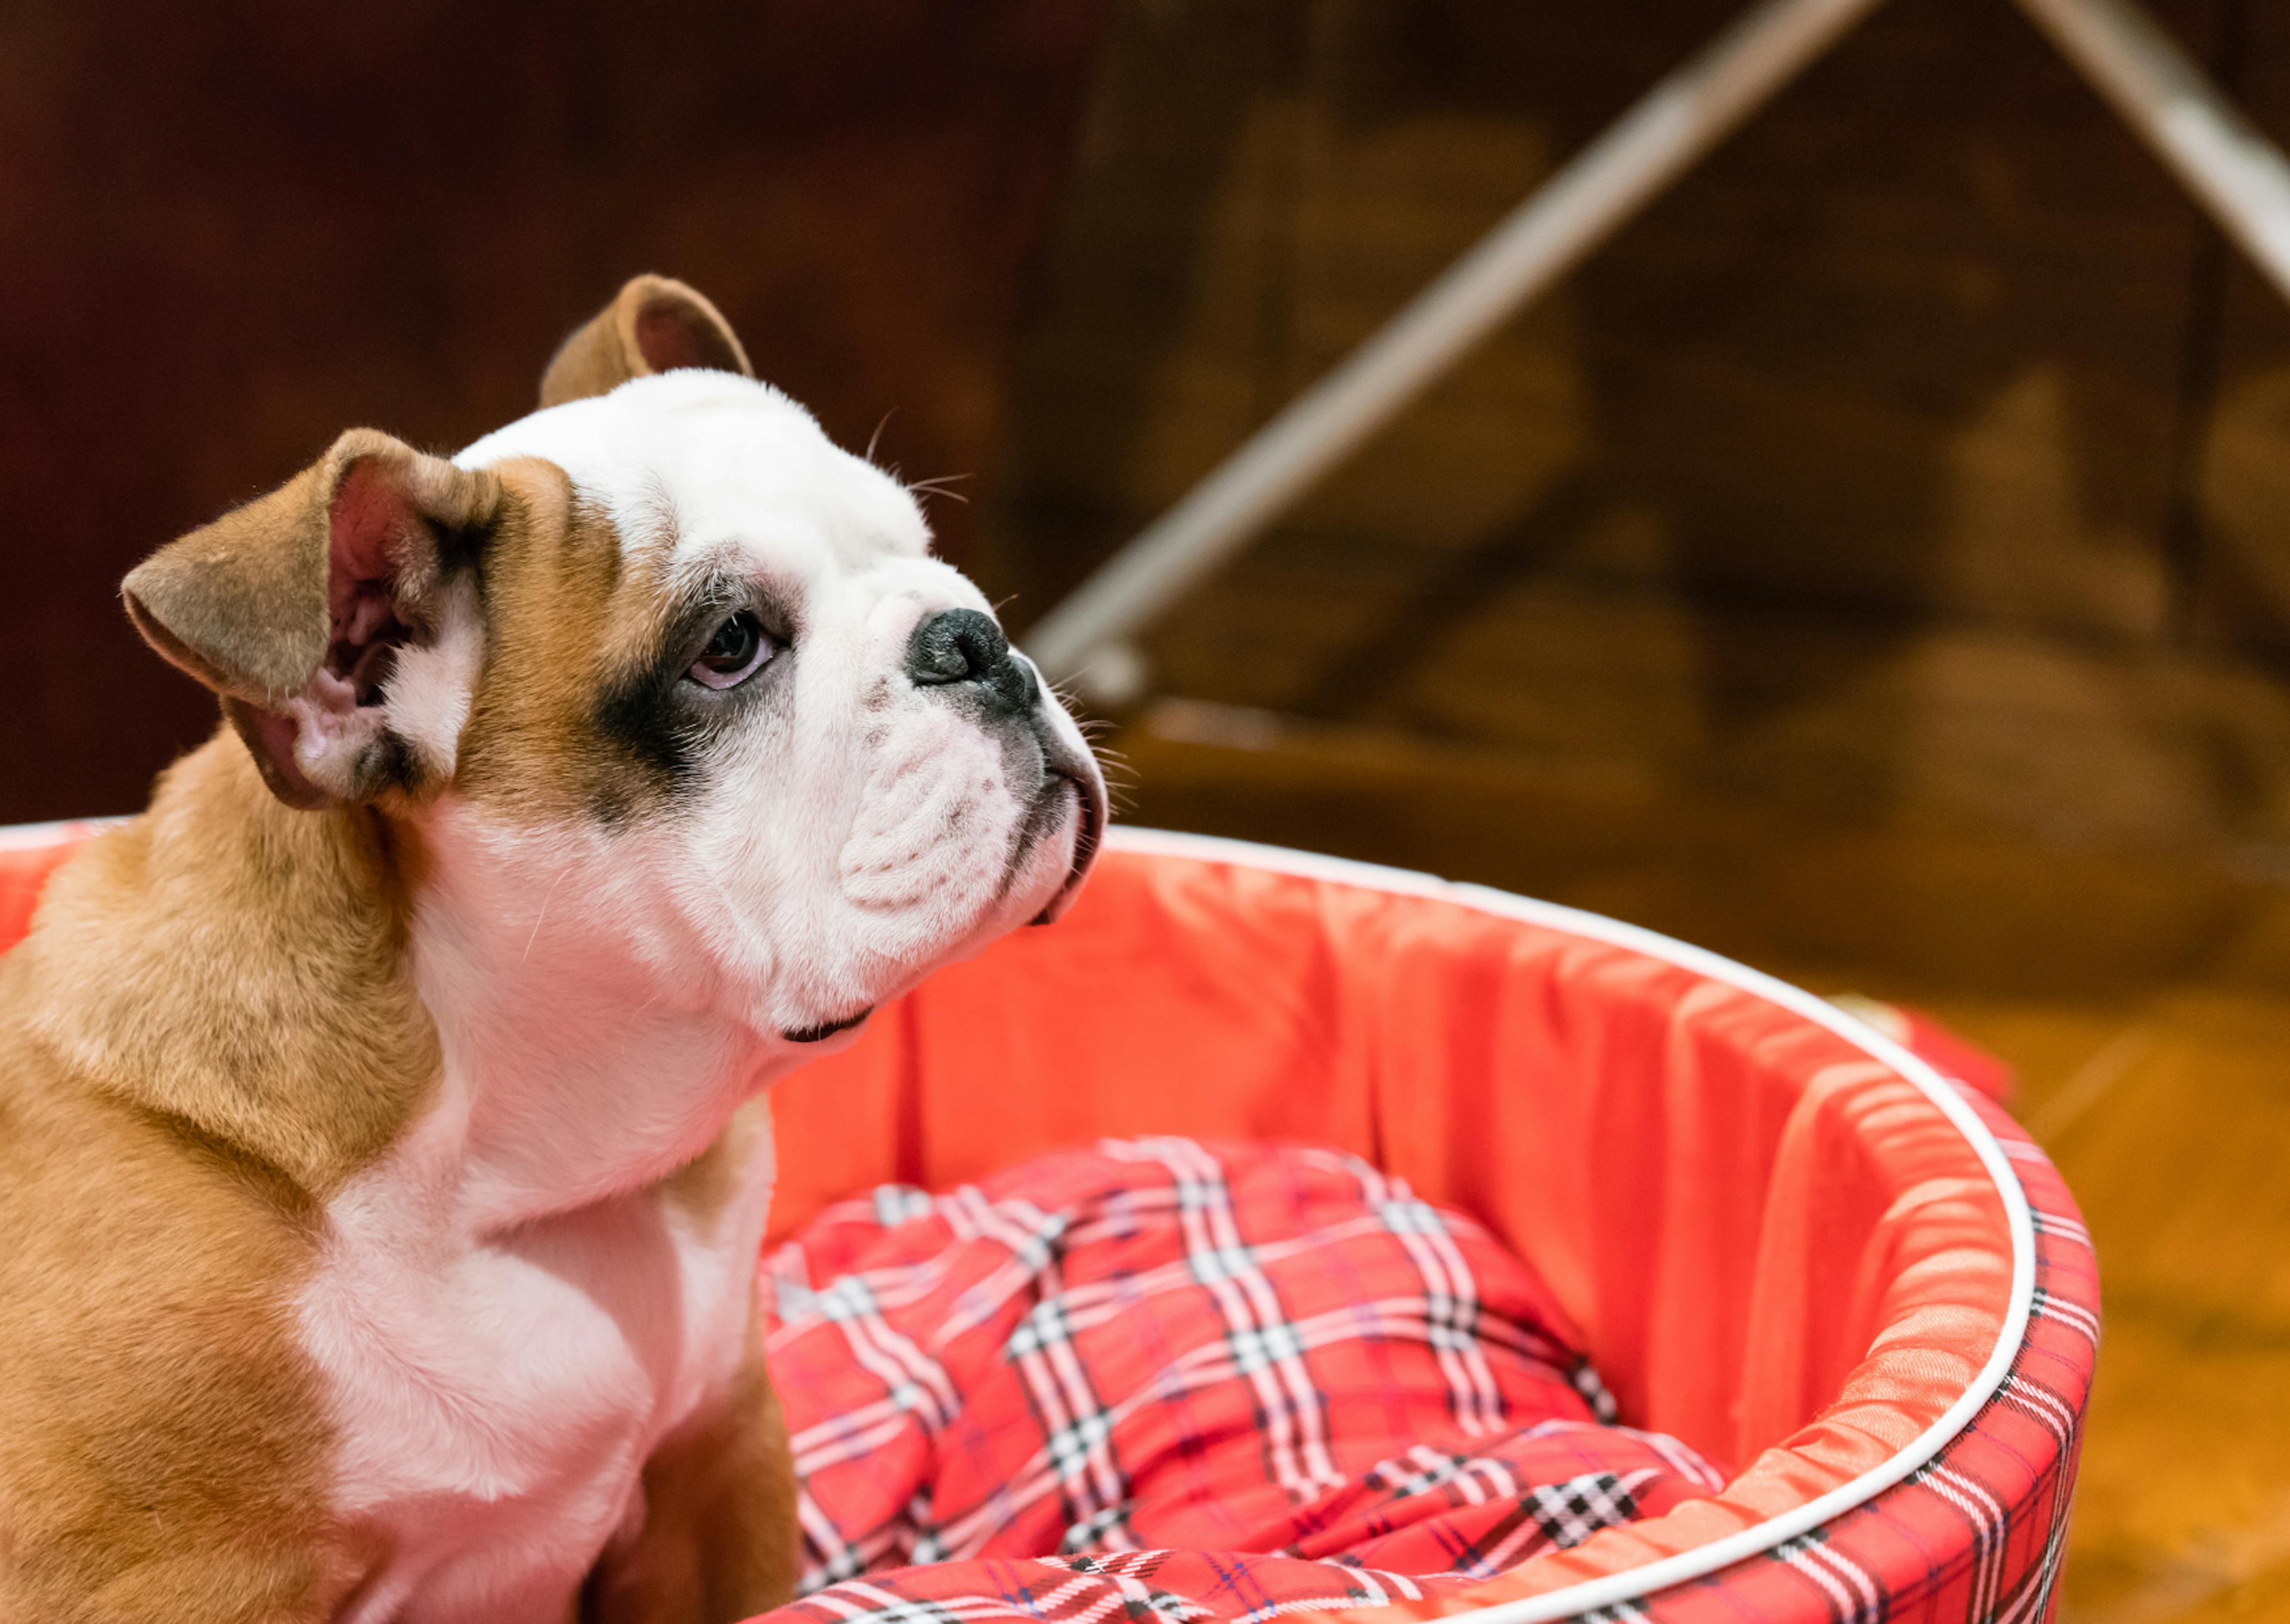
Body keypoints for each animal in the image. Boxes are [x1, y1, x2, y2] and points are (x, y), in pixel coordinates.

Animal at [0, 278, 1108, 1622]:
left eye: (920, 545)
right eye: (728, 646)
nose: (972, 637)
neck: (510, 1174)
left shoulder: (718, 1465)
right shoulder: (173, 1583)